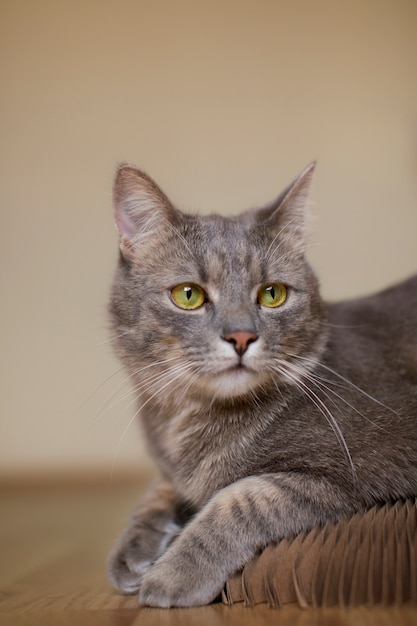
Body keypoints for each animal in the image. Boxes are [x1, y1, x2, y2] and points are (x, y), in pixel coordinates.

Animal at [107, 162, 416, 604]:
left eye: (273, 294)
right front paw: (133, 549)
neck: (188, 419)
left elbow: (240, 498)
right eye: (188, 295)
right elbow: (159, 490)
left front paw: (172, 575)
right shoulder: (172, 468)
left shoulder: (348, 475)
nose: (241, 336)